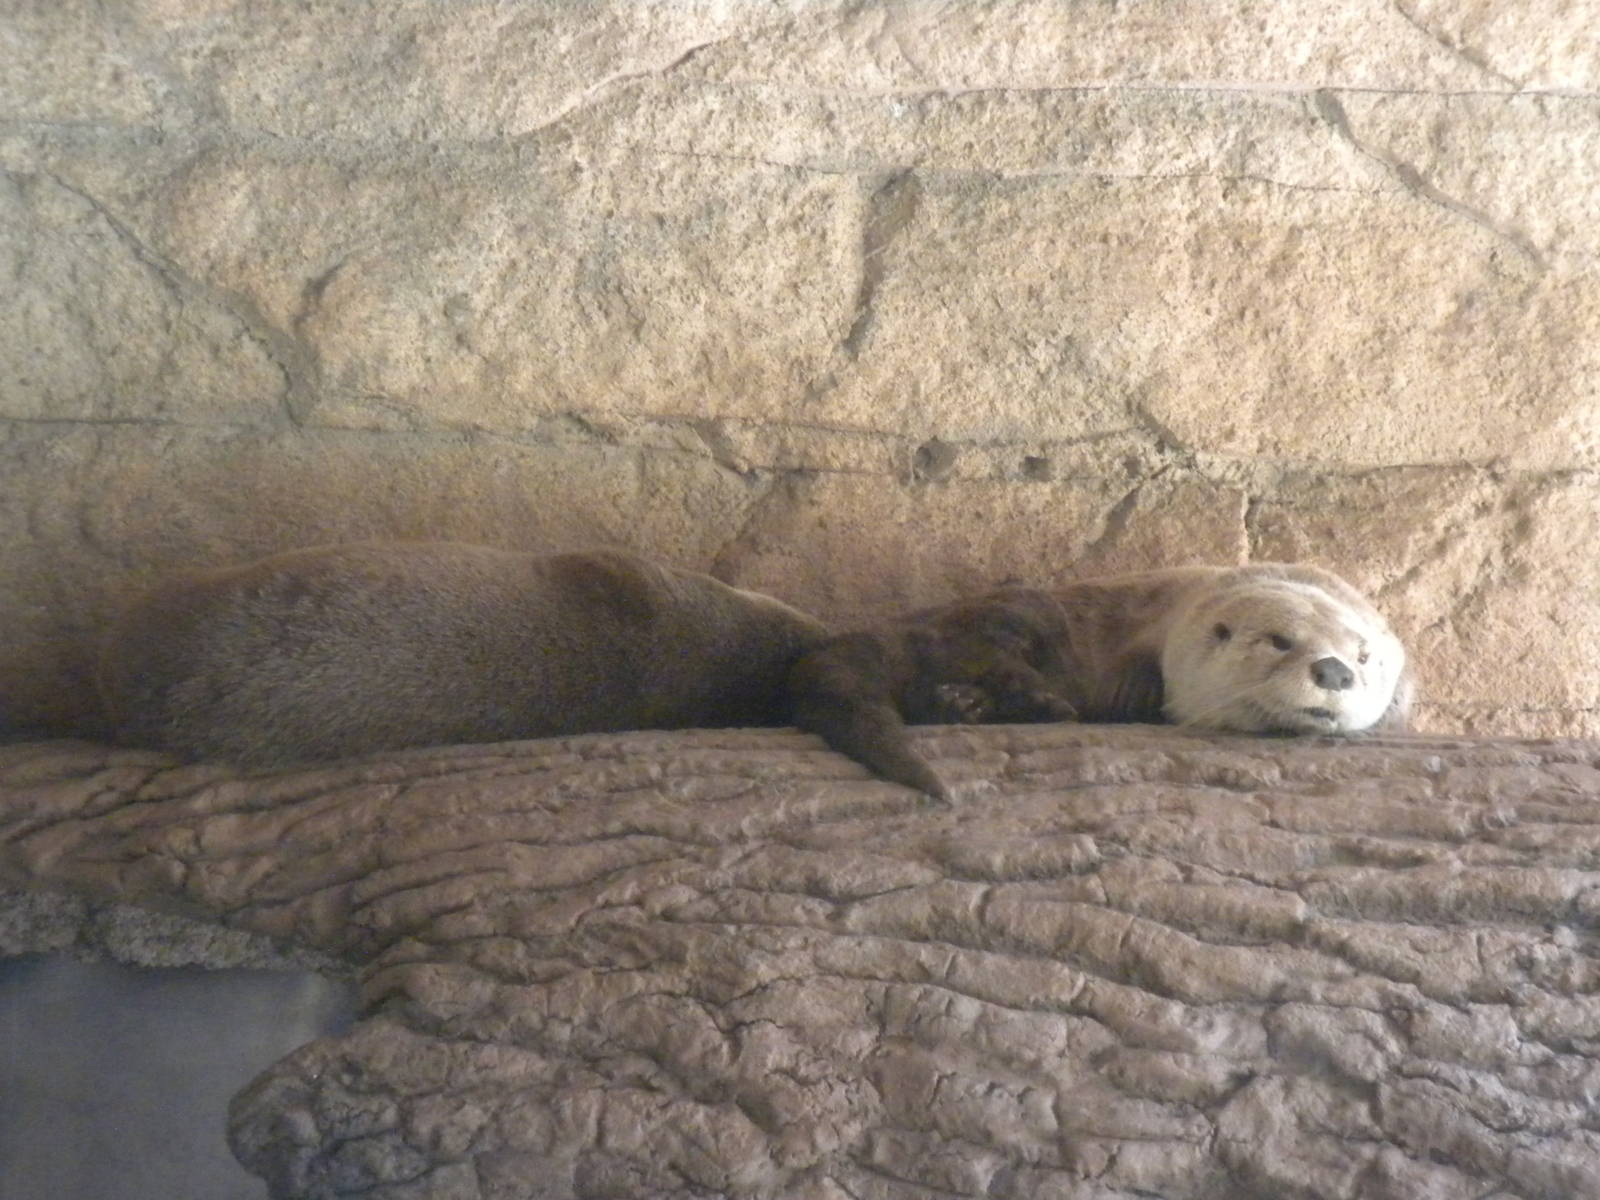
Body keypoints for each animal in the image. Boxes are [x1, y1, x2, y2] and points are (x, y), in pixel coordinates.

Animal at [789, 564, 1412, 800]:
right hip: (1014, 613)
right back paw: (1031, 700)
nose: (1333, 669)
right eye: (1281, 641)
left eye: (1364, 656)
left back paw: (963, 704)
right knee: (988, 648)